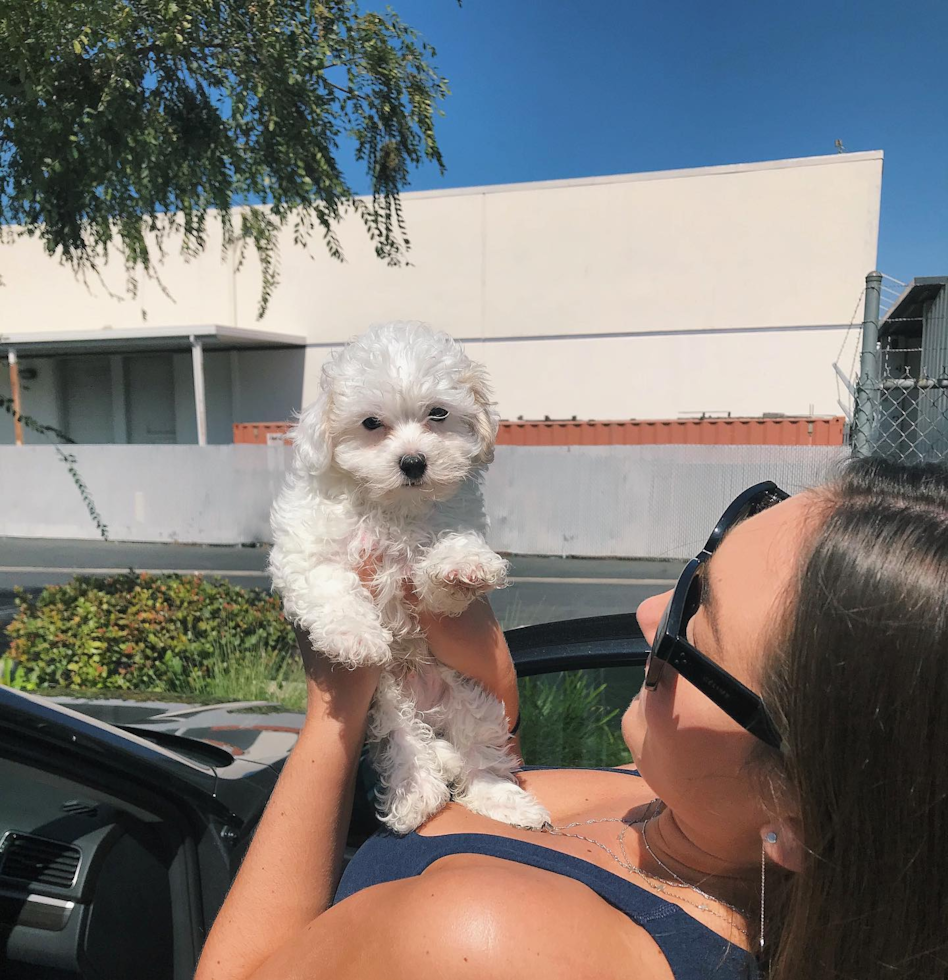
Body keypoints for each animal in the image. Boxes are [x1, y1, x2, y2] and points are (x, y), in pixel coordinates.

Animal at [266, 322, 548, 836]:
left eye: (438, 414)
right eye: (371, 424)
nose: (413, 462)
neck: (393, 507)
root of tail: (425, 705)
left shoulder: (447, 526)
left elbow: (445, 558)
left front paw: (462, 567)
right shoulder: (305, 549)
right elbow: (331, 585)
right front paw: (356, 637)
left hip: (468, 696)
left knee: (480, 758)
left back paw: (506, 804)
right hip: (388, 701)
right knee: (408, 749)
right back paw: (414, 797)